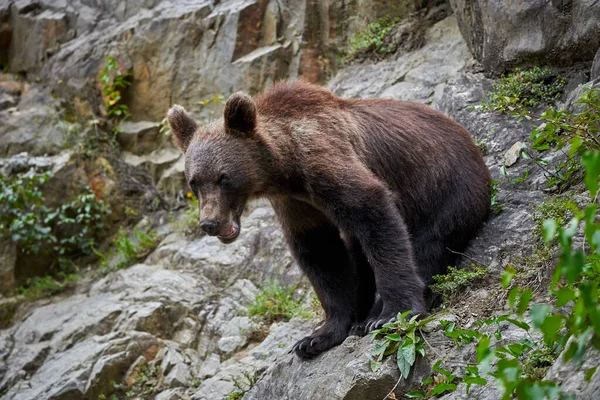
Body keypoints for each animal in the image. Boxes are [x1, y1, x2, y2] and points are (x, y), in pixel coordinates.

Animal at [166, 80, 490, 360]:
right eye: (194, 182)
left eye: (224, 178)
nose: (210, 223)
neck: (286, 169)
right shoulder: (296, 204)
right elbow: (322, 254)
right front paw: (317, 337)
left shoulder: (325, 160)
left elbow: (373, 212)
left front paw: (392, 313)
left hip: (447, 191)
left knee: (428, 246)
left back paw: (375, 313)